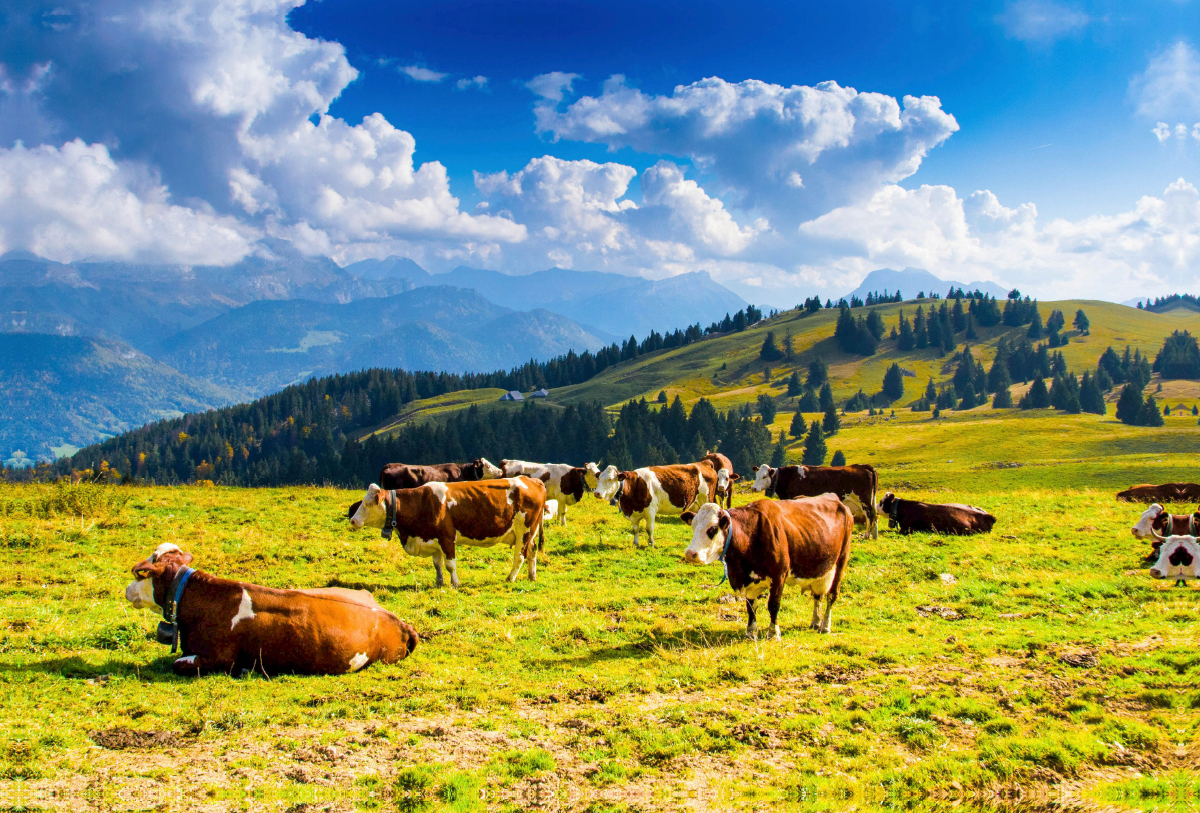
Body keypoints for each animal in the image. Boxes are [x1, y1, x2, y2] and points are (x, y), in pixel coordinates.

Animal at [348, 477, 549, 585]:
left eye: (368, 503)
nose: (353, 520)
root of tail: (532, 480)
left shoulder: (447, 537)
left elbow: (450, 564)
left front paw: (455, 583)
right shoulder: (432, 539)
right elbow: (437, 564)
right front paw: (439, 582)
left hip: (524, 530)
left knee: (520, 556)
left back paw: (510, 578)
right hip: (530, 532)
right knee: (532, 551)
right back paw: (532, 577)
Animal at [681, 496, 859, 642]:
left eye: (712, 529)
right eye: (693, 526)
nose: (690, 554)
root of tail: (840, 504)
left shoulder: (779, 574)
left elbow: (773, 604)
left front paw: (773, 633)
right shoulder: (748, 581)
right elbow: (750, 607)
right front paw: (750, 632)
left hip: (841, 561)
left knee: (832, 595)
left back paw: (825, 625)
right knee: (817, 595)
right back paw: (815, 621)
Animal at [748, 465, 883, 542]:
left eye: (764, 476)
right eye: (756, 475)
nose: (754, 488)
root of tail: (864, 467)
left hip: (864, 500)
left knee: (871, 516)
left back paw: (866, 535)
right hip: (871, 500)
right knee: (875, 516)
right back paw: (874, 536)